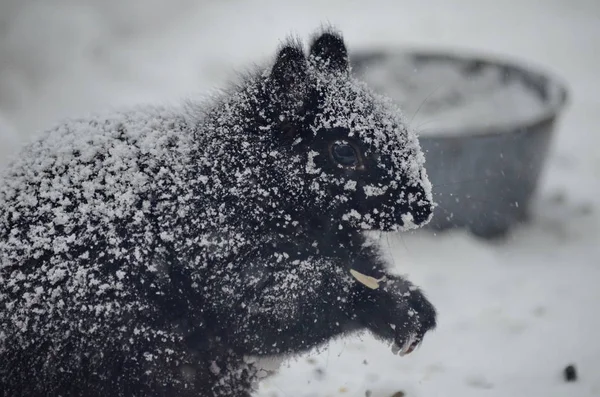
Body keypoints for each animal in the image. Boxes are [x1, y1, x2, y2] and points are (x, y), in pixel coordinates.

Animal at [0, 29, 436, 396]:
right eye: (344, 151)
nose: (424, 207)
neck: (232, 180)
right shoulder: (217, 250)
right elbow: (270, 313)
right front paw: (380, 304)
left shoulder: (344, 245)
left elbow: (366, 267)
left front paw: (413, 306)